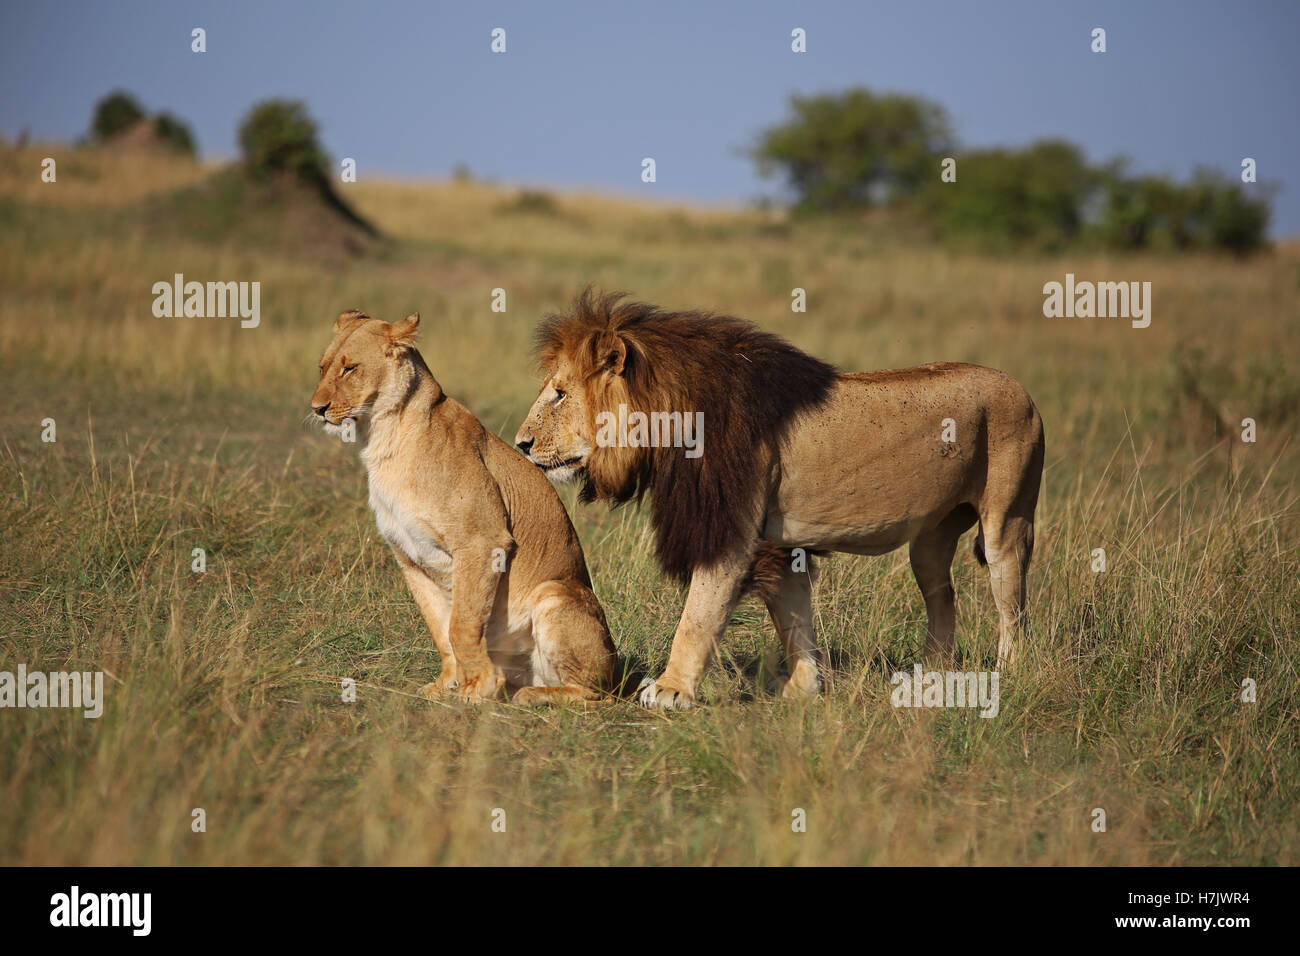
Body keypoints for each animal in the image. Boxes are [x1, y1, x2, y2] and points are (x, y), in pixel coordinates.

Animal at [314, 310, 618, 707]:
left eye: (350, 368)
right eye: (322, 368)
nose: (316, 409)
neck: (382, 438)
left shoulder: (482, 542)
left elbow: (462, 625)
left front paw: (480, 689)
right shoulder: (409, 557)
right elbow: (440, 629)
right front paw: (448, 685)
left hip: (555, 594)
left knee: (596, 694)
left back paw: (531, 695)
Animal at [517, 291, 1045, 712]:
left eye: (559, 394)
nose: (521, 444)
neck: (669, 420)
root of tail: (1024, 390)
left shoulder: (730, 533)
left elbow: (698, 616)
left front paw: (670, 690)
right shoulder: (779, 543)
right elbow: (794, 619)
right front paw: (803, 690)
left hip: (1007, 519)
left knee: (1012, 603)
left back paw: (1007, 673)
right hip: (930, 539)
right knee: (943, 594)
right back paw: (931, 674)